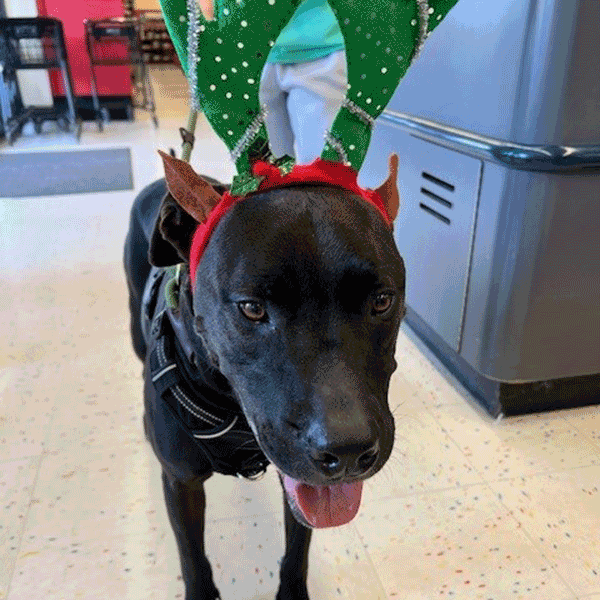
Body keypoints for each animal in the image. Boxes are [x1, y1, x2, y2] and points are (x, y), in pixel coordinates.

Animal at [125, 156, 408, 600]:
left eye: (382, 301)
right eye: (252, 308)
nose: (346, 452)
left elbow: (299, 545)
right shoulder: (181, 483)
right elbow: (192, 557)